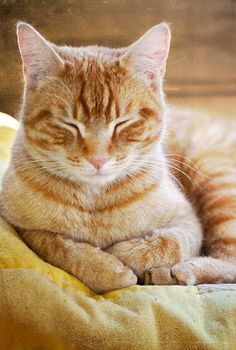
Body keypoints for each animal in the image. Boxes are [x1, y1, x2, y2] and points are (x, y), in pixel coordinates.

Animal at [0, 20, 235, 292]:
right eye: (69, 124)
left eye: (122, 123)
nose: (98, 159)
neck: (96, 204)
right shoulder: (22, 227)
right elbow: (58, 246)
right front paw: (106, 269)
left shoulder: (187, 221)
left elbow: (170, 242)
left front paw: (126, 255)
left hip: (217, 179)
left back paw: (181, 272)